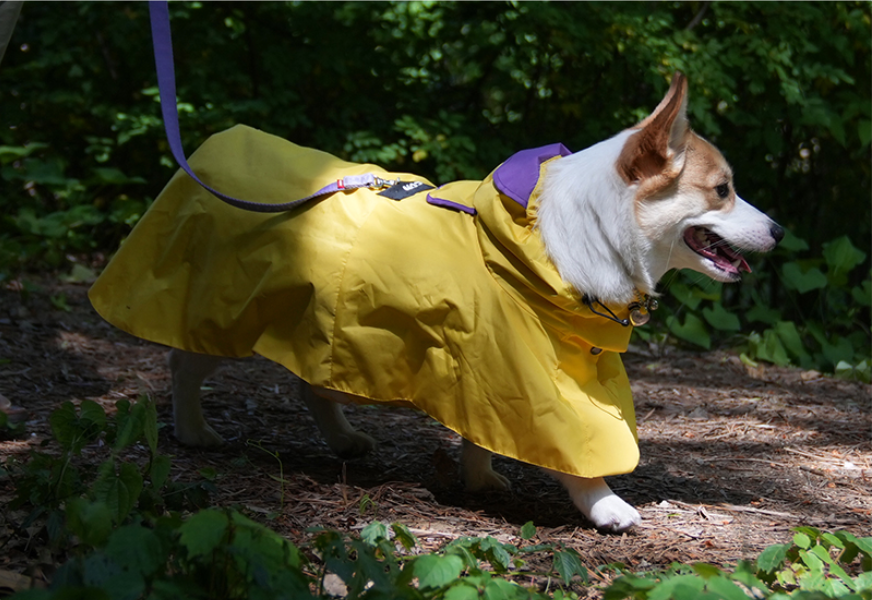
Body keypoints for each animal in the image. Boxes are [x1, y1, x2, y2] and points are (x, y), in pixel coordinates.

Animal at [93, 74, 784, 528]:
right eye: (722, 190)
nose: (779, 230)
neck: (568, 234)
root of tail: (206, 151)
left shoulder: (493, 371)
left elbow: (484, 433)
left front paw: (479, 478)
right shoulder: (533, 374)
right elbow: (576, 451)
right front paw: (607, 505)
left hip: (318, 321)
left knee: (313, 385)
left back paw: (343, 440)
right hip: (230, 314)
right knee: (184, 362)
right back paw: (193, 430)